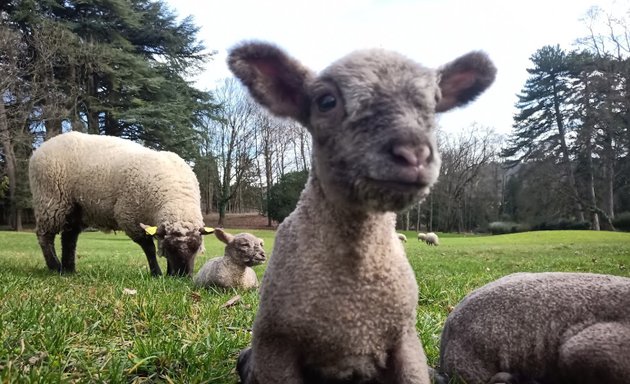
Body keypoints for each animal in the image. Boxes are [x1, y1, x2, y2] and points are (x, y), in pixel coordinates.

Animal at [29, 131, 214, 276]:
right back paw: (55, 267)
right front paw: (157, 273)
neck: (176, 196)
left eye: (196, 248)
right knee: (45, 236)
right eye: (170, 248)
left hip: (75, 208)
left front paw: (167, 273)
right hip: (51, 200)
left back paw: (69, 270)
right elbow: (149, 248)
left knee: (69, 237)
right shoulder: (129, 217)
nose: (183, 276)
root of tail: (40, 149)